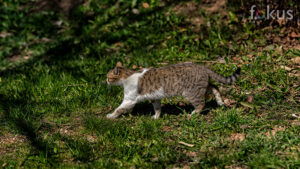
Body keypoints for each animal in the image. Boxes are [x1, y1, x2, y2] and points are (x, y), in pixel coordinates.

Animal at [106, 61, 240, 119]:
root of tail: (202, 66)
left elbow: (119, 109)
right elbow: (157, 108)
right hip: (202, 87)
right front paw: (156, 117)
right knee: (215, 87)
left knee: (201, 104)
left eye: (108, 77)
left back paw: (193, 114)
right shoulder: (155, 97)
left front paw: (111, 115)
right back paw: (220, 102)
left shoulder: (129, 100)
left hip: (191, 93)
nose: (106, 81)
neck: (127, 76)